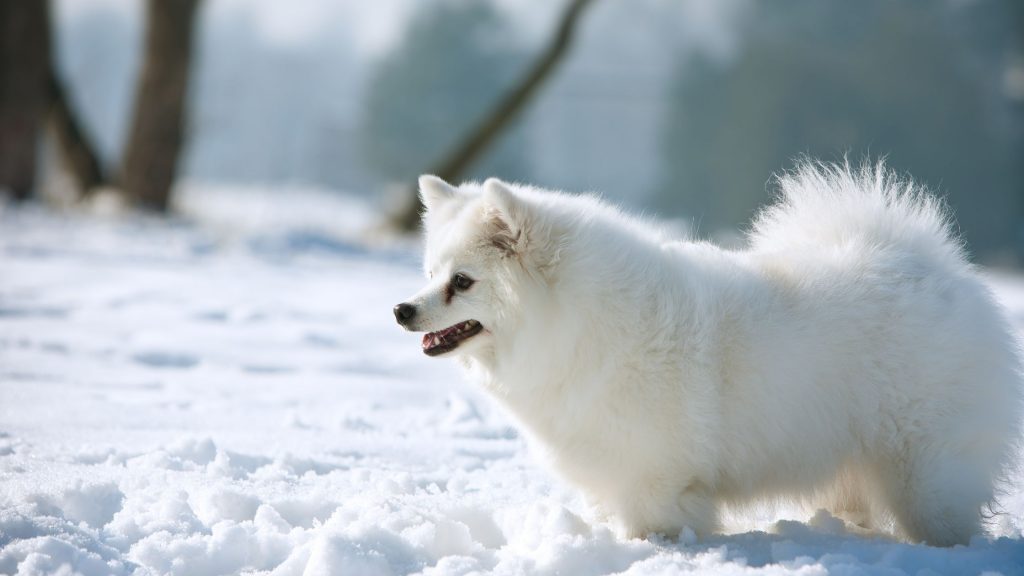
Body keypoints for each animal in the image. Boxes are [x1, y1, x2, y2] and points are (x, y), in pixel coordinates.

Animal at [389, 161, 1015, 541]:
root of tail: (929, 267)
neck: (580, 324)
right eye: (430, 274)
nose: (401, 310)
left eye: (463, 282)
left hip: (922, 472)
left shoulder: (656, 479)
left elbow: (651, 525)